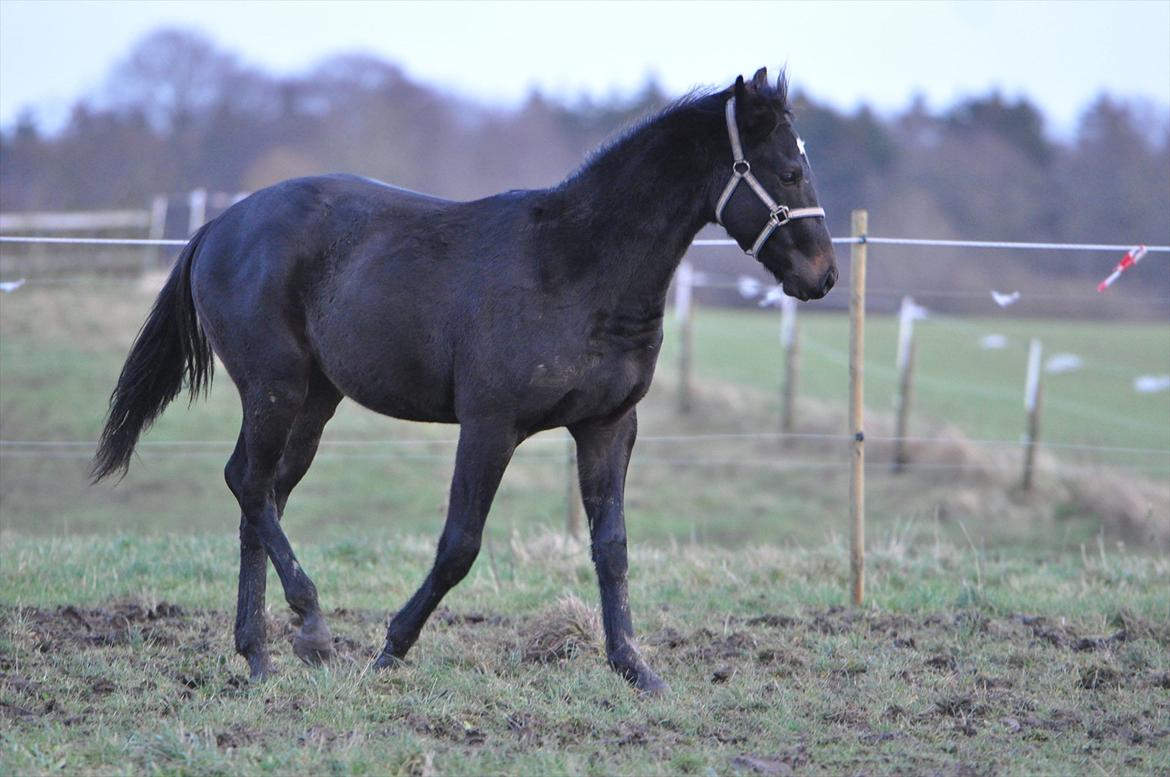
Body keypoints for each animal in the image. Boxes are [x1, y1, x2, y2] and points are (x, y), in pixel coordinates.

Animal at [95, 69, 837, 692]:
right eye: (789, 169)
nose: (823, 276)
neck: (573, 267)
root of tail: (218, 226)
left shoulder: (607, 426)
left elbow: (613, 548)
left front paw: (635, 668)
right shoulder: (489, 425)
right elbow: (460, 545)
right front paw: (390, 648)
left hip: (312, 402)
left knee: (260, 495)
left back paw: (258, 655)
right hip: (274, 388)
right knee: (249, 485)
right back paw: (312, 631)